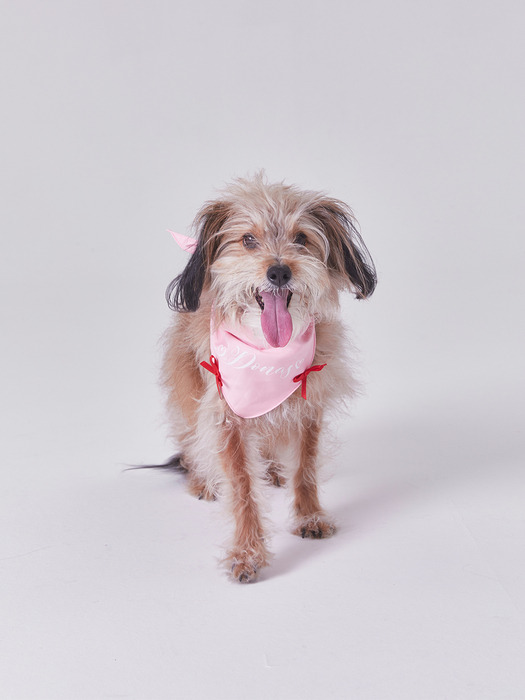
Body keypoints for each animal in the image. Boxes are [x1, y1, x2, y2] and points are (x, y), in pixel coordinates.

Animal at [160, 174, 376, 580]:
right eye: (248, 240)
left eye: (301, 238)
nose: (278, 271)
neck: (268, 352)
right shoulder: (227, 417)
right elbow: (242, 486)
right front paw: (248, 552)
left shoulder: (309, 405)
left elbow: (305, 467)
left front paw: (310, 515)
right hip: (186, 397)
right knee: (192, 443)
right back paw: (202, 479)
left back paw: (274, 468)